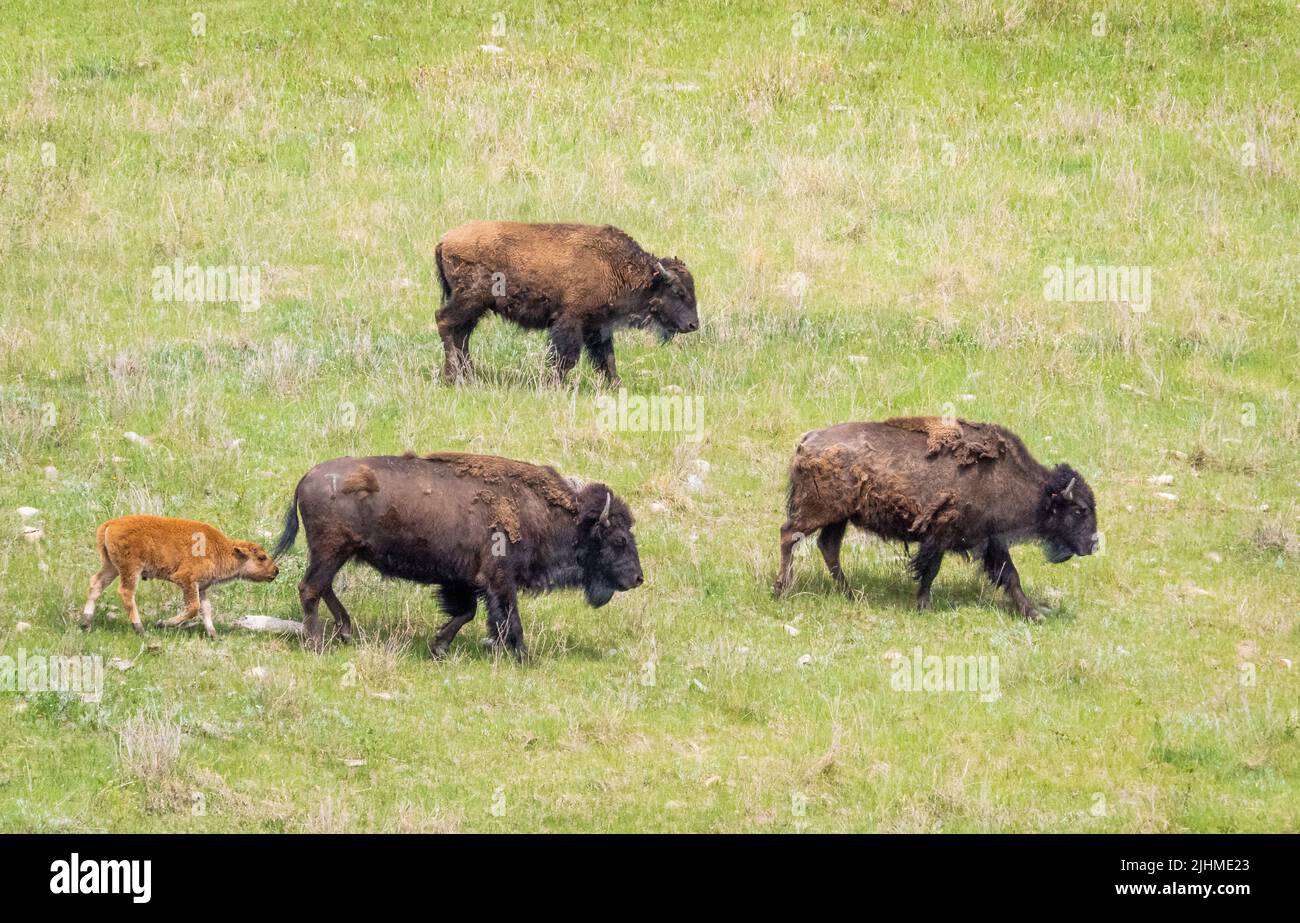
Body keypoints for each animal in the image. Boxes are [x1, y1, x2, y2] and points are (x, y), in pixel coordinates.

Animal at [273, 452, 643, 658]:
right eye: (619, 540)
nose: (638, 578)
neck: (536, 511)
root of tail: (307, 477)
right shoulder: (499, 579)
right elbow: (508, 618)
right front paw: (525, 657)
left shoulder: (464, 581)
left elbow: (466, 613)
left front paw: (438, 647)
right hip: (331, 551)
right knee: (310, 588)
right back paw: (317, 644)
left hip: (339, 553)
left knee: (322, 587)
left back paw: (345, 631)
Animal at [434, 221, 698, 386]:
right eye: (677, 290)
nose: (693, 324)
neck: (613, 265)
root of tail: (444, 240)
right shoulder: (571, 320)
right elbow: (566, 358)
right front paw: (555, 385)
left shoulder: (597, 326)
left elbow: (607, 358)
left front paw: (617, 385)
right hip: (469, 300)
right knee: (445, 322)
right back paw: (454, 376)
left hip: (474, 308)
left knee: (461, 334)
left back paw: (468, 376)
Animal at [773, 417, 1098, 621]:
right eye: (1079, 510)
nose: (1094, 545)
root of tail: (807, 440)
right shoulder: (940, 536)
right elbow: (930, 571)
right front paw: (924, 606)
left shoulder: (992, 541)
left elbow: (1011, 576)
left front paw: (1033, 614)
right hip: (817, 512)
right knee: (789, 535)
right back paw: (782, 590)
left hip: (839, 517)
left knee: (828, 547)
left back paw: (850, 594)